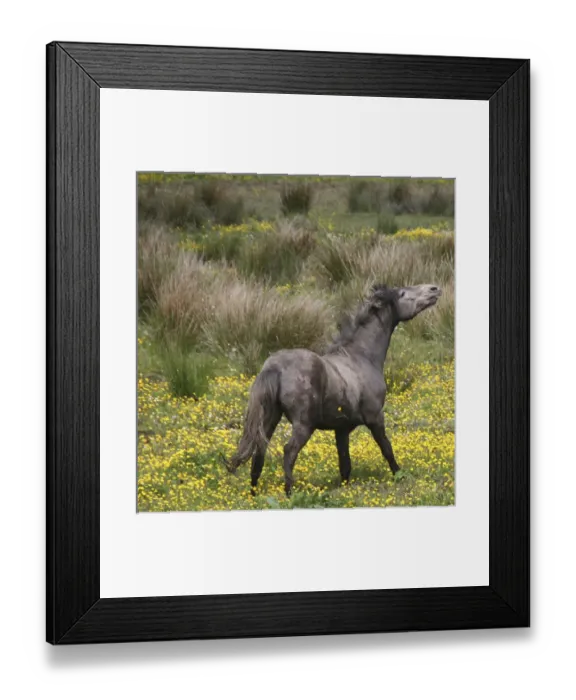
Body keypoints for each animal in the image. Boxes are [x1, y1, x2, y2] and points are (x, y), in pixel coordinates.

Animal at [227, 283, 442, 495]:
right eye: (402, 293)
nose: (434, 289)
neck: (361, 357)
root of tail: (274, 367)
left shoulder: (342, 429)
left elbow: (345, 464)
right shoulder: (375, 417)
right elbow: (386, 449)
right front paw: (400, 476)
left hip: (270, 418)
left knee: (259, 450)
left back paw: (254, 494)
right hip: (303, 424)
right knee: (288, 451)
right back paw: (289, 493)